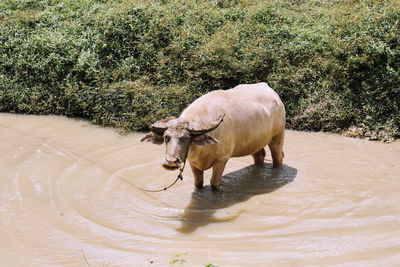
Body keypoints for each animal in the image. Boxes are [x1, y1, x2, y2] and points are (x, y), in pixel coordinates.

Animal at [141, 82, 284, 192]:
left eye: (187, 138)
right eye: (166, 137)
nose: (170, 162)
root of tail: (275, 95)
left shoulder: (222, 160)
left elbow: (214, 184)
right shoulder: (193, 164)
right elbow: (198, 184)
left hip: (278, 137)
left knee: (278, 157)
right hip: (255, 143)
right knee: (259, 156)